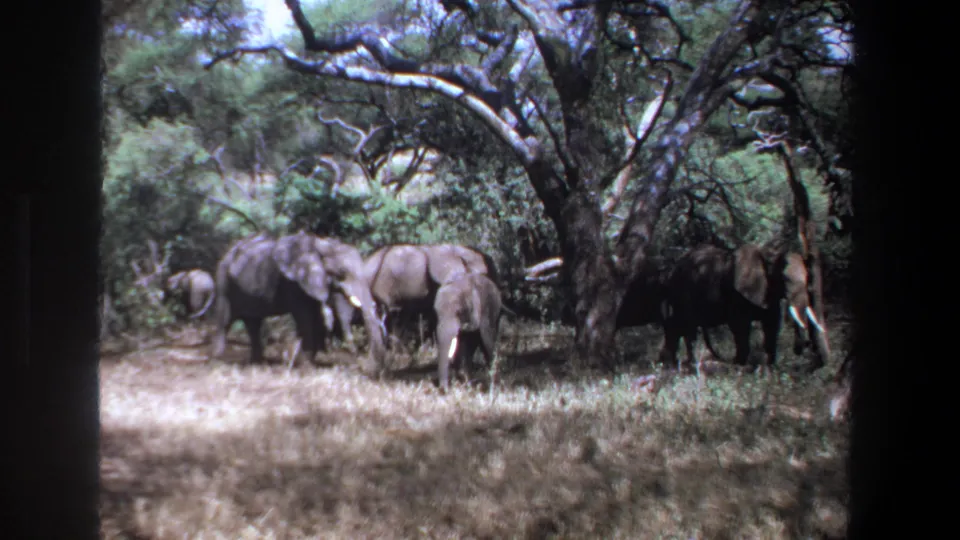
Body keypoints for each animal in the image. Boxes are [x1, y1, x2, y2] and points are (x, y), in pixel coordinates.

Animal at [208, 231, 386, 373]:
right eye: (342, 272)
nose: (361, 363)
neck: (321, 245)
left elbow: (316, 318)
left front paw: (303, 361)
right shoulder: (294, 283)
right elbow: (305, 317)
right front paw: (306, 367)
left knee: (253, 324)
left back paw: (257, 363)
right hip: (223, 280)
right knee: (224, 321)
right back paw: (218, 360)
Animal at [658, 243, 830, 373]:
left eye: (808, 278)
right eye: (785, 279)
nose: (806, 344)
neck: (770, 255)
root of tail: (671, 270)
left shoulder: (768, 294)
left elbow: (772, 325)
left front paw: (770, 369)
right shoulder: (737, 294)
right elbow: (740, 326)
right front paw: (739, 367)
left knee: (676, 327)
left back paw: (670, 365)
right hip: (682, 291)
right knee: (687, 327)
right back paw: (687, 365)